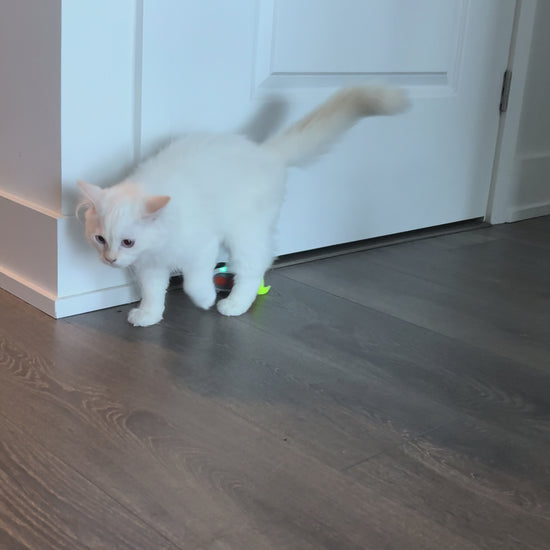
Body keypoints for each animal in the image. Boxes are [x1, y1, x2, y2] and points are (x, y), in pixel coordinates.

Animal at [78, 84, 409, 326]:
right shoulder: (150, 267)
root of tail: (265, 152)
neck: (158, 246)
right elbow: (153, 293)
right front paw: (149, 315)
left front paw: (205, 299)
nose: (110, 260)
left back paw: (234, 304)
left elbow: (193, 282)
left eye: (128, 242)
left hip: (245, 233)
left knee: (255, 266)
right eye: (100, 239)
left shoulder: (202, 247)